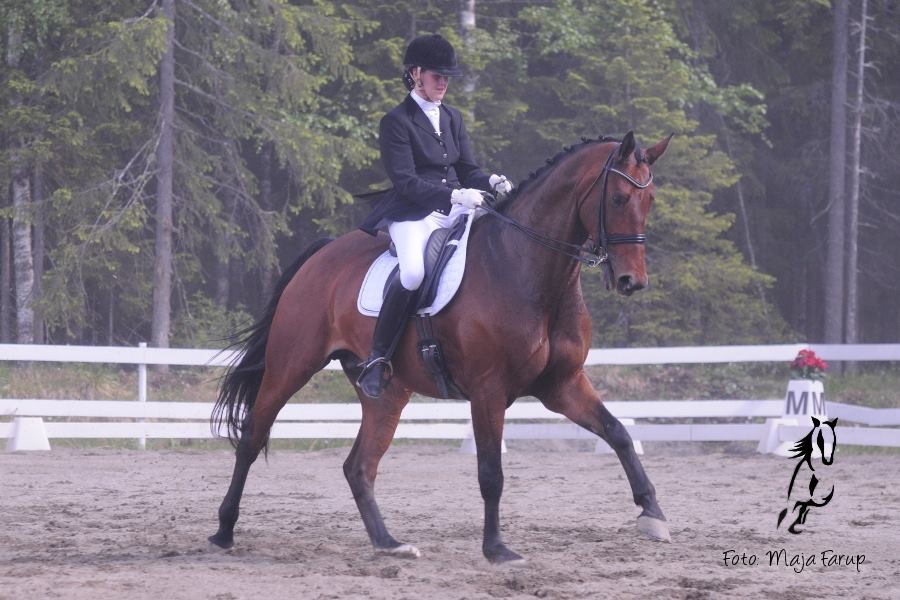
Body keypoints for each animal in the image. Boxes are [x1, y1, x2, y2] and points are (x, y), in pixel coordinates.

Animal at [208, 131, 673, 564]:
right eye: (617, 198)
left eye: (649, 199)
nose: (632, 281)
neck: (526, 269)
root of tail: (320, 255)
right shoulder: (488, 391)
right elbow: (491, 473)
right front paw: (497, 549)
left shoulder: (562, 385)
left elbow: (618, 433)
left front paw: (653, 515)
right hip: (291, 365)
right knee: (251, 437)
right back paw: (224, 531)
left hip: (387, 394)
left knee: (359, 466)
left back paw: (389, 543)